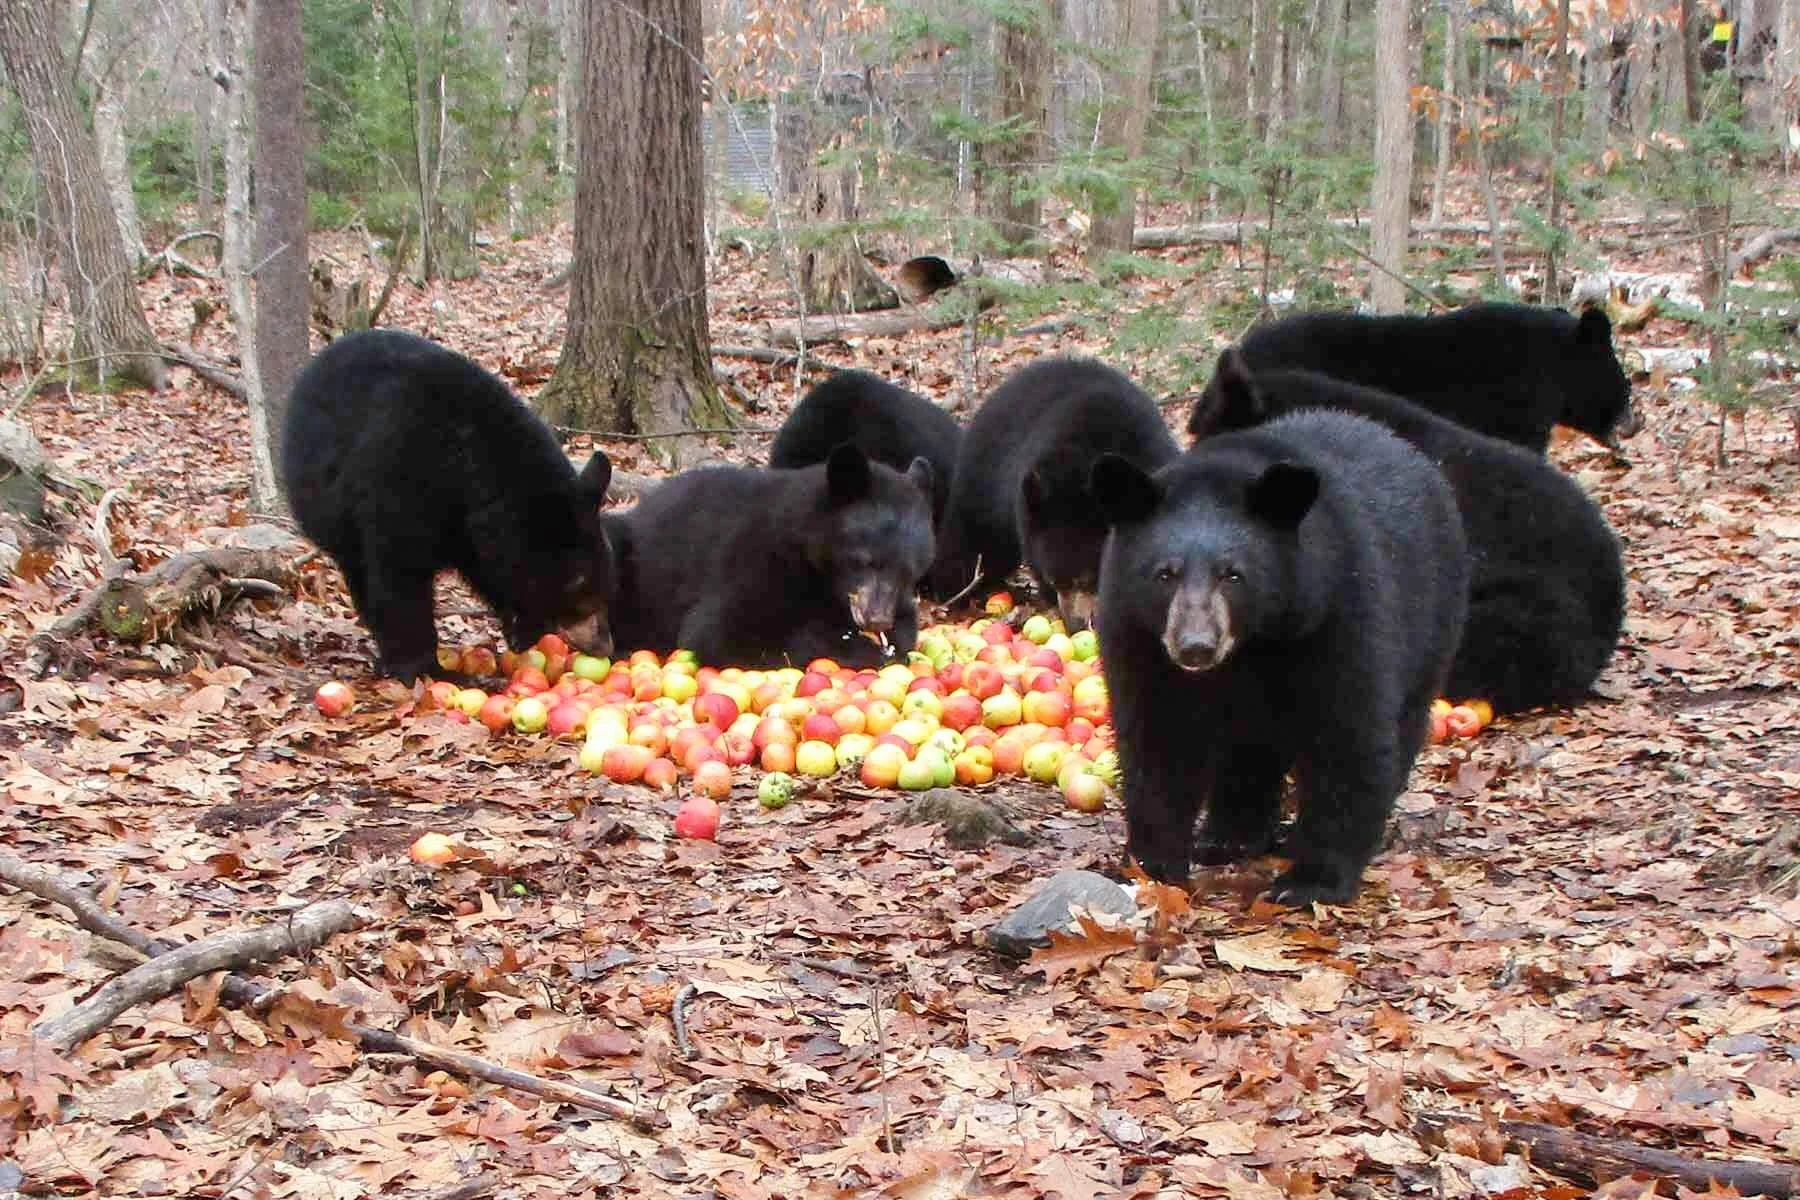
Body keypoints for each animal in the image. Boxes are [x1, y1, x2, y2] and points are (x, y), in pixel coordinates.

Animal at [281, 329, 616, 684]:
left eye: (607, 585)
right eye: (580, 590)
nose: (604, 645)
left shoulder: (471, 529)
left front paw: (522, 626)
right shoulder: (398, 484)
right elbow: (400, 576)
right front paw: (424, 667)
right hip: (325, 505)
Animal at [604, 443, 934, 669]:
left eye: (909, 571)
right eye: (865, 561)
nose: (878, 620)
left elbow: (909, 624)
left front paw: (891, 640)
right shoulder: (756, 559)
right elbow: (717, 631)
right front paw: (859, 648)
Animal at [1093, 408, 1469, 905]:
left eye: (1233, 574)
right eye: (1164, 574)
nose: (1195, 646)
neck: (1253, 644)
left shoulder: (1337, 613)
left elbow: (1346, 735)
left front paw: (1311, 879)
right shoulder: (1139, 637)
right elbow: (1159, 735)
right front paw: (1154, 864)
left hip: (1433, 618)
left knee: (1403, 721)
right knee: (1251, 749)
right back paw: (1229, 836)